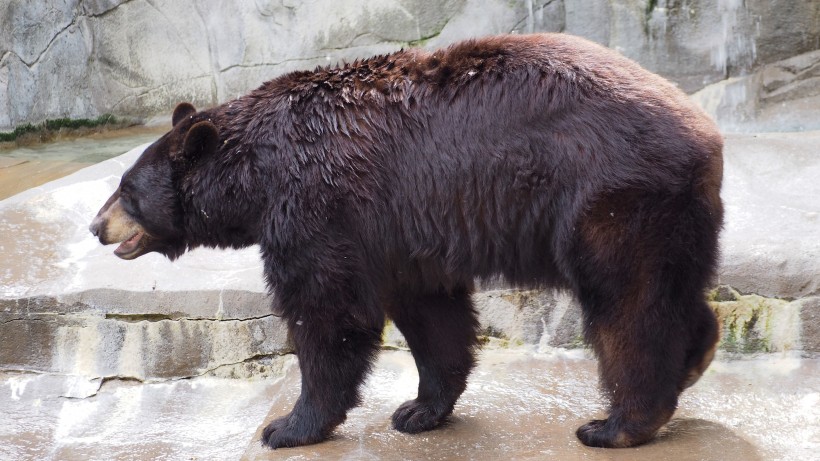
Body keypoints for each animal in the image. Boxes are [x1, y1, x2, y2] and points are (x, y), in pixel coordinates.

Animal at [88, 33, 724, 450]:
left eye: (126, 188)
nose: (96, 226)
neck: (257, 175)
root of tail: (705, 132)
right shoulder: (402, 228)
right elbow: (430, 310)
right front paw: (419, 410)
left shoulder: (319, 206)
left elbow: (329, 311)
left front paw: (287, 426)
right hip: (672, 214)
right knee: (671, 292)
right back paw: (694, 361)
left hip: (611, 197)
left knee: (627, 303)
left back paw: (616, 424)